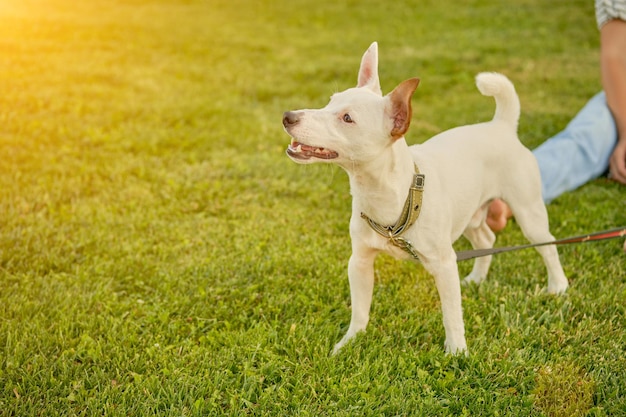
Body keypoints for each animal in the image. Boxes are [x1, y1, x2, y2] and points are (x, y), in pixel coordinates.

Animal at [282, 43, 564, 354]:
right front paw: (349, 343)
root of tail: (501, 126)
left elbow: (451, 314)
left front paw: (457, 351)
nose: (288, 116)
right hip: (469, 216)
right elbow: (360, 310)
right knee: (486, 239)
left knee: (548, 246)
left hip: (528, 213)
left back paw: (558, 286)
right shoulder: (359, 262)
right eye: (329, 102)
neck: (389, 195)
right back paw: (477, 279)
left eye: (347, 118)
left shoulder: (444, 264)